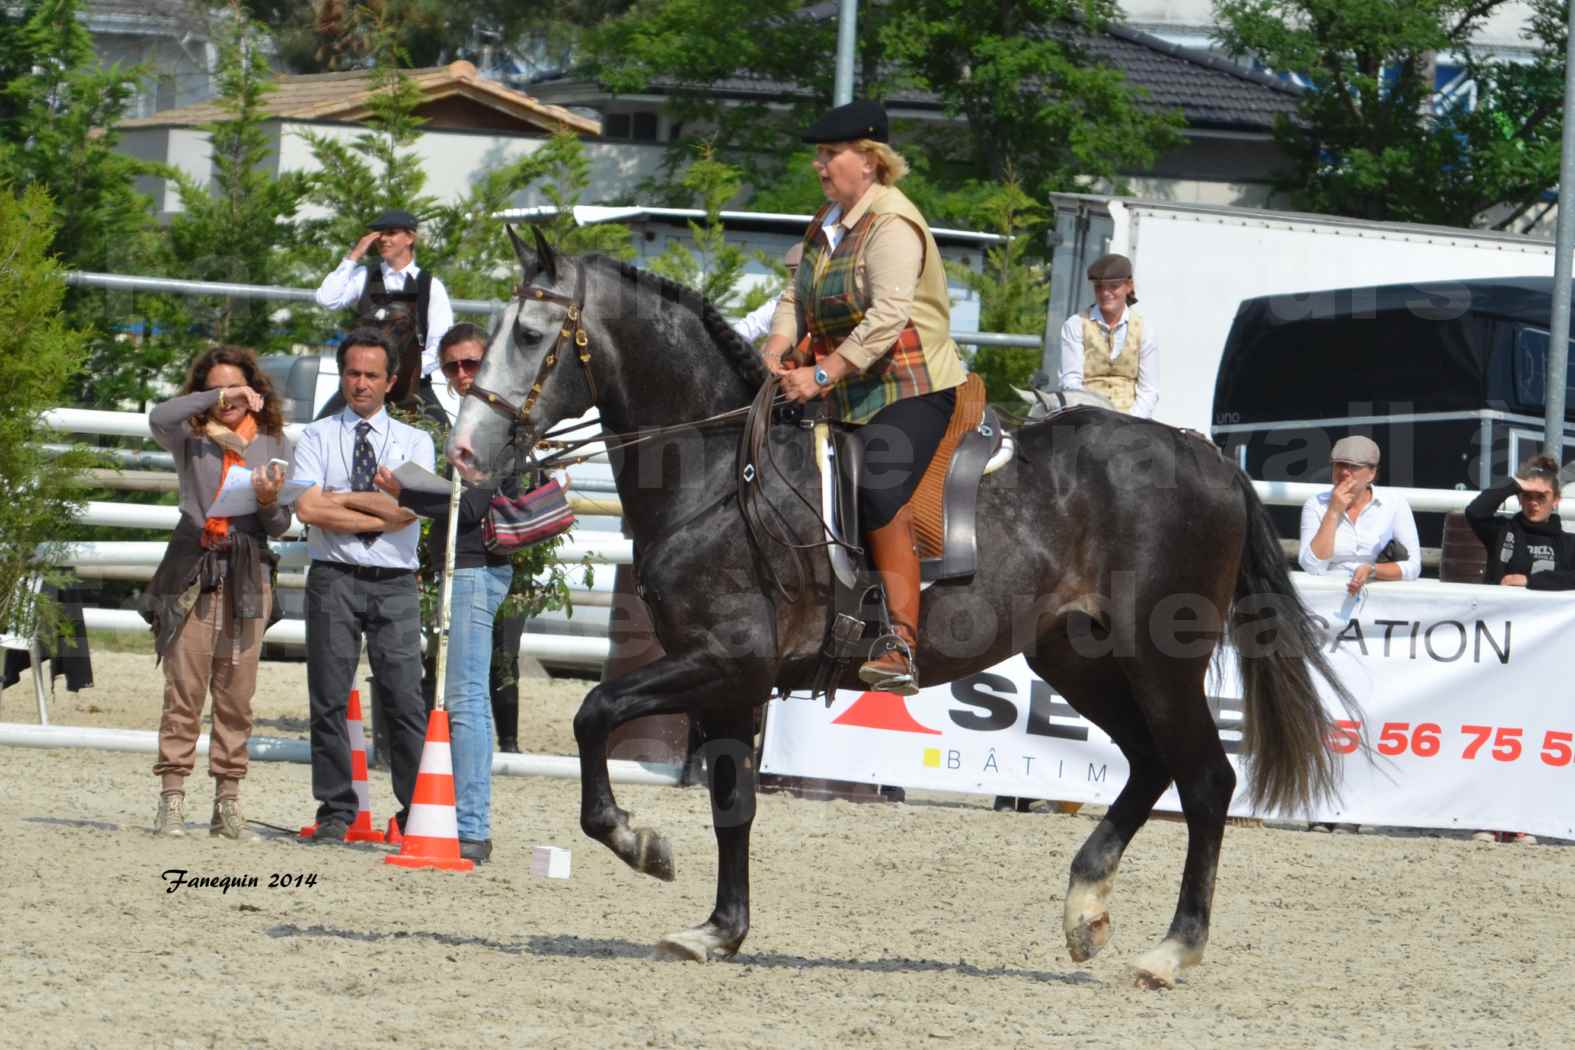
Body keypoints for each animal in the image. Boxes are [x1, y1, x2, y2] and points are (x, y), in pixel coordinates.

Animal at [447, 231, 1354, 994]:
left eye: (530, 336)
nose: (464, 449)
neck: (718, 474)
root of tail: (1207, 458)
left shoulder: (724, 660)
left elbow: (596, 714)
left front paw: (640, 844)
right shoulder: (730, 682)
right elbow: (732, 804)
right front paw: (718, 930)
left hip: (1160, 660)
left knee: (1204, 780)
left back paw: (1171, 950)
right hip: (1077, 658)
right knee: (1148, 764)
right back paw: (1083, 907)